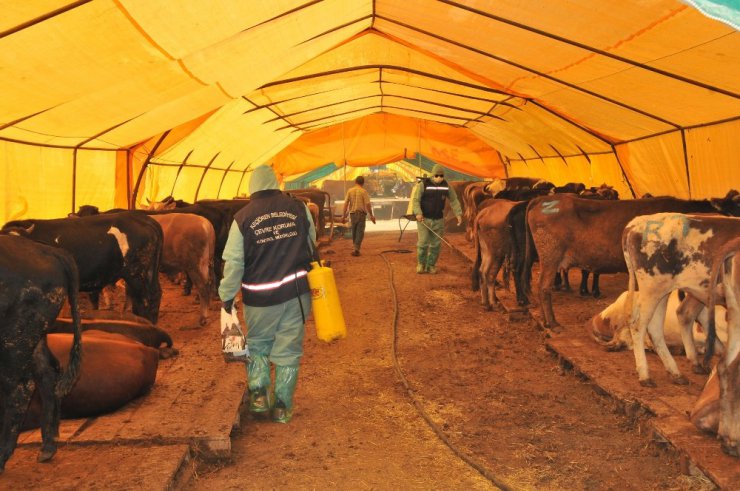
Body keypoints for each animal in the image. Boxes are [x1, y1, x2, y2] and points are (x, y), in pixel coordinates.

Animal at [0, 234, 82, 472]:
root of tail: (47, 250)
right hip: (34, 336)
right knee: (47, 374)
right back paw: (48, 447)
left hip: (15, 339)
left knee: (20, 388)